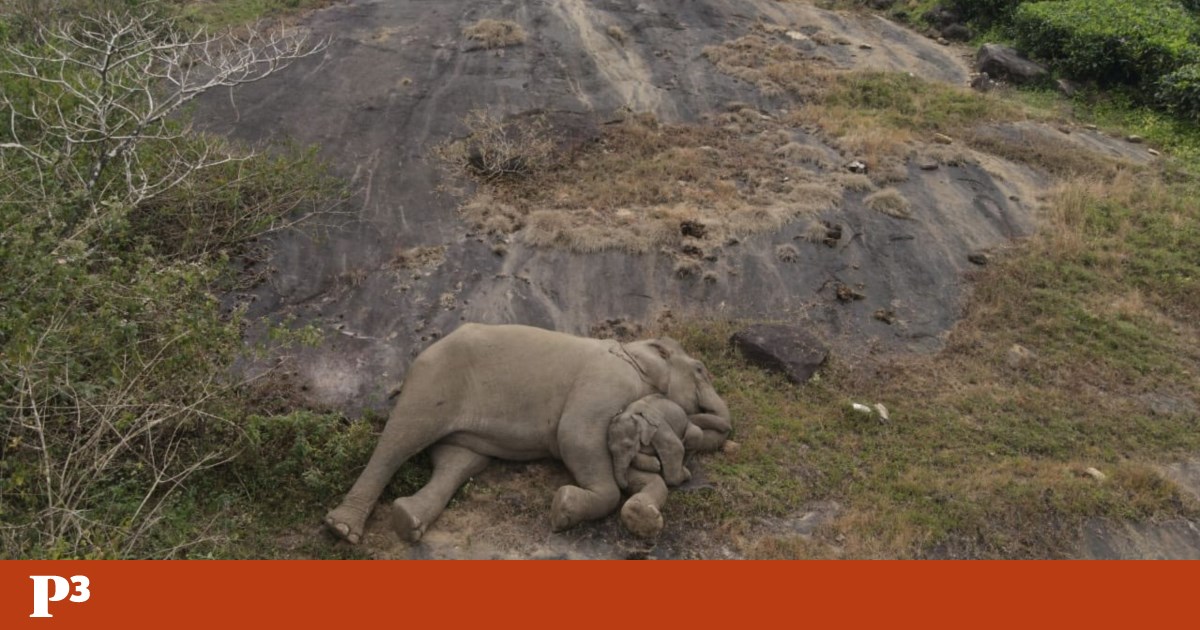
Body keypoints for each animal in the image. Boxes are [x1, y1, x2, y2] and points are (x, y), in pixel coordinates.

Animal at [323, 323, 732, 544]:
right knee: (400, 440)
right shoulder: (605, 382)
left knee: (458, 461)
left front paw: (641, 513)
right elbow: (576, 436)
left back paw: (406, 520)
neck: (634, 350)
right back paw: (343, 529)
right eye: (700, 370)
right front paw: (563, 509)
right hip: (434, 381)